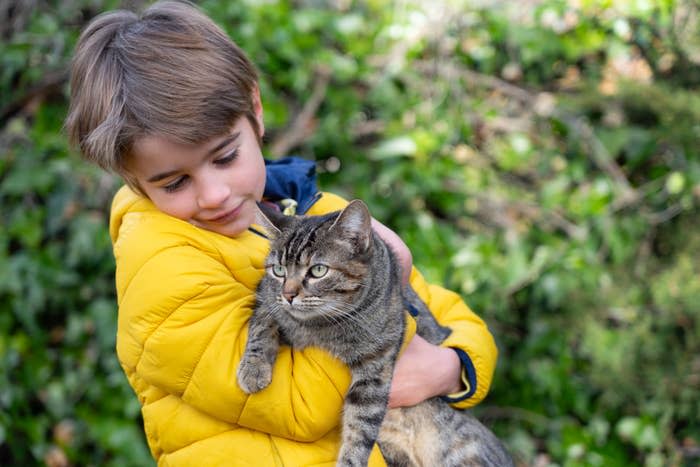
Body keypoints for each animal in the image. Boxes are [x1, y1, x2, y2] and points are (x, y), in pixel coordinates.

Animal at [237, 201, 516, 467]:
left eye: (318, 271)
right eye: (278, 271)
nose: (288, 295)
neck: (315, 326)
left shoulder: (376, 366)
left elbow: (360, 431)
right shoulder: (265, 296)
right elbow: (263, 322)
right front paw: (253, 368)